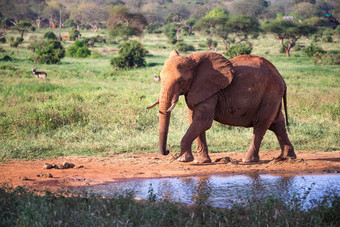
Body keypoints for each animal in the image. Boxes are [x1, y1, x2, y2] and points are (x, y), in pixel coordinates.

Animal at [147, 50, 296, 163]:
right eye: (160, 77)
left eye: (181, 81)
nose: (167, 151)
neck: (194, 62)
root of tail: (282, 79)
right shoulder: (197, 90)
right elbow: (195, 121)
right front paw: (202, 161)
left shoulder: (211, 90)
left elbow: (203, 121)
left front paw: (183, 160)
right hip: (272, 96)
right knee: (277, 124)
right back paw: (287, 157)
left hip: (269, 94)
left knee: (261, 125)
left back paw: (247, 160)